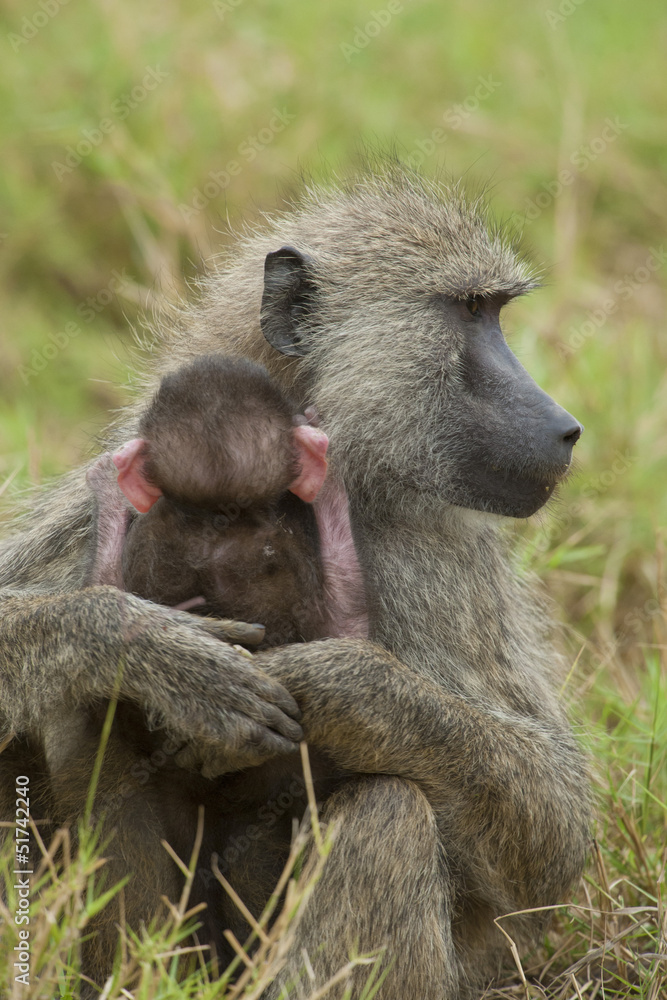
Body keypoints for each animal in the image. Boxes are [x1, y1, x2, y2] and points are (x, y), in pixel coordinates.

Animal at [0, 168, 591, 1000]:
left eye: (489, 310)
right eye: (468, 311)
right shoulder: (97, 511)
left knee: (389, 807)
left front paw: (329, 683)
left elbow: (553, 821)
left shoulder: (441, 554)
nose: (564, 428)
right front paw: (151, 650)